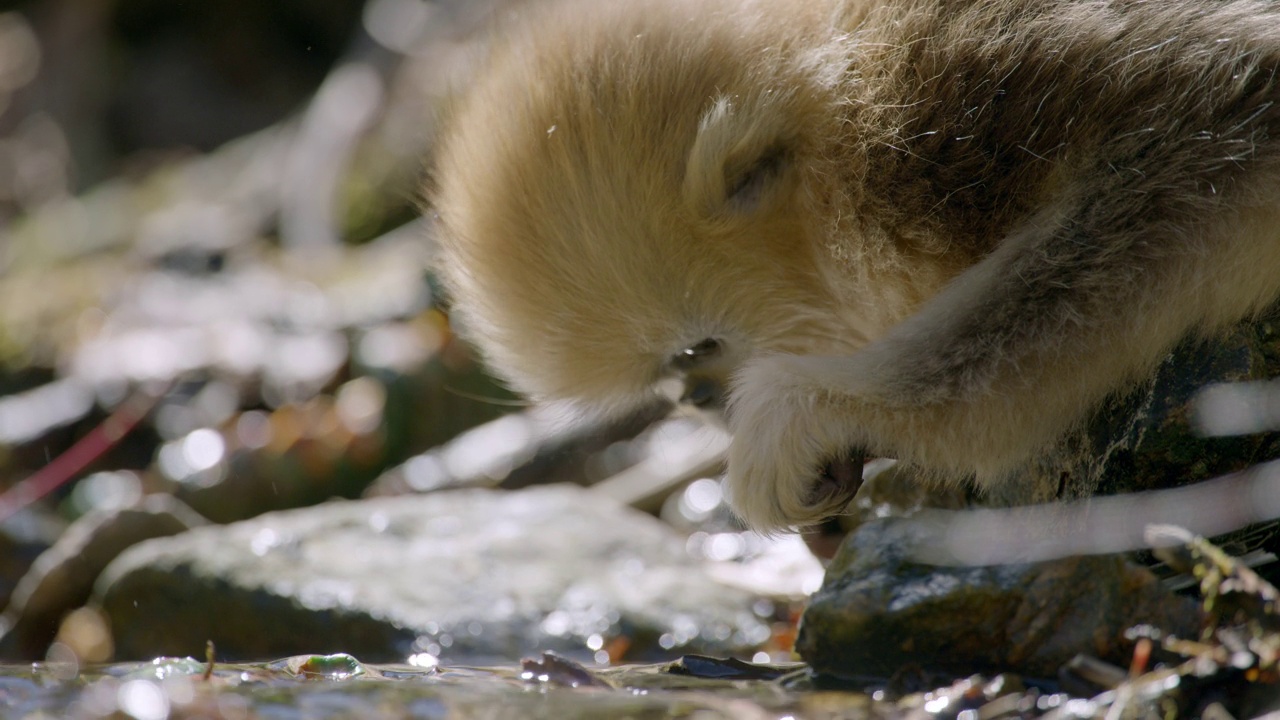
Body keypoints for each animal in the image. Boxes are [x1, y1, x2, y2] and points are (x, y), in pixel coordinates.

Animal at [427, 0, 1280, 530]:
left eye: (698, 351)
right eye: (679, 377)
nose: (701, 403)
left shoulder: (983, 87)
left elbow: (1217, 108)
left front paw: (822, 406)